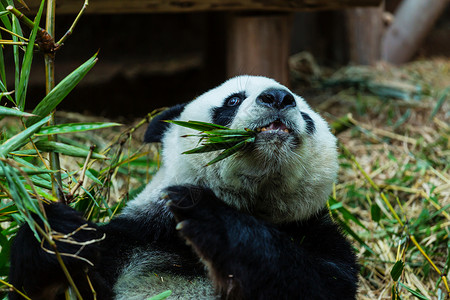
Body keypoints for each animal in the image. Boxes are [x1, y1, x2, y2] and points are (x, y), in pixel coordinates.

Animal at [7, 75, 358, 300]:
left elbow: (317, 284)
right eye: (233, 100)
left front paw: (209, 217)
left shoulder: (313, 233)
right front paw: (57, 233)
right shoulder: (136, 238)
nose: (278, 97)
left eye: (305, 114)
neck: (251, 203)